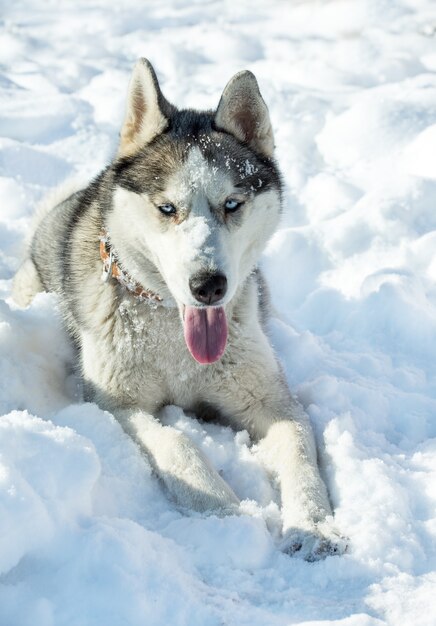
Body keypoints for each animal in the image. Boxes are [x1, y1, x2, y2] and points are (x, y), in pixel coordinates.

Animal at [13, 57, 344, 556]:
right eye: (167, 208)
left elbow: (301, 454)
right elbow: (176, 444)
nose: (208, 285)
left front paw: (314, 525)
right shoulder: (116, 404)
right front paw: (224, 512)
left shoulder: (272, 401)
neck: (175, 336)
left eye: (233, 203)